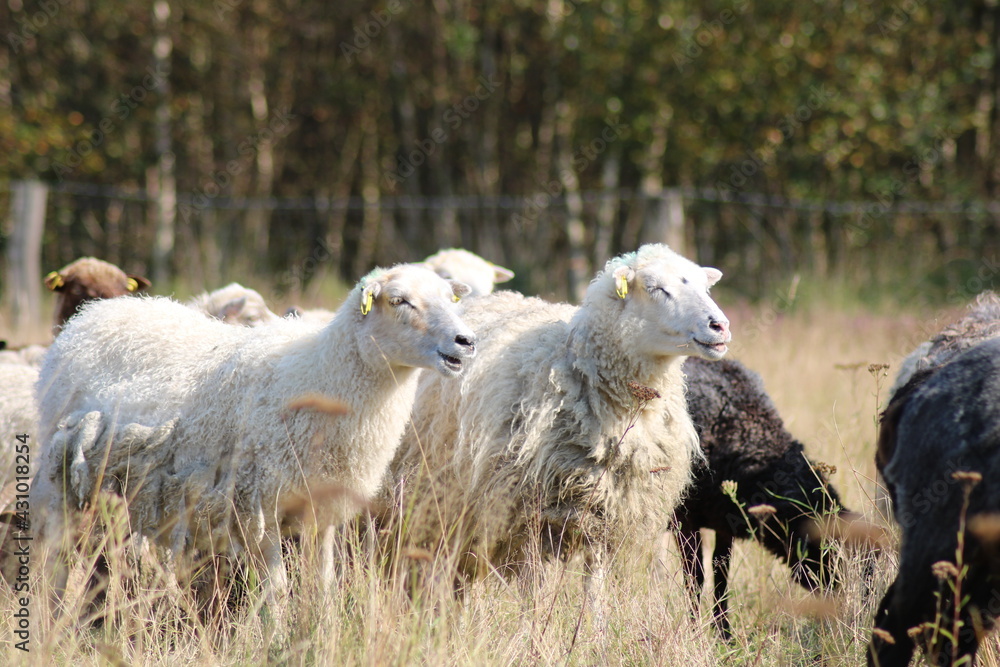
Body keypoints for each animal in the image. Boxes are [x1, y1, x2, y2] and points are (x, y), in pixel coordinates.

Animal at [32, 263, 477, 610]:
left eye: (450, 298)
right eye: (399, 301)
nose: (467, 341)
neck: (319, 375)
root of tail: (92, 315)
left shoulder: (320, 509)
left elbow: (323, 586)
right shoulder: (257, 506)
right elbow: (275, 590)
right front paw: (276, 641)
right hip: (63, 474)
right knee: (57, 557)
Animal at [386, 244, 730, 614]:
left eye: (705, 287)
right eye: (655, 288)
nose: (720, 326)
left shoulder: (605, 514)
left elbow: (595, 587)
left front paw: (595, 628)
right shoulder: (528, 515)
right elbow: (536, 591)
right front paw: (536, 628)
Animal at [676, 356, 856, 638]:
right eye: (826, 553)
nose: (841, 610)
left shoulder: (723, 519)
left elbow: (720, 574)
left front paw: (725, 635)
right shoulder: (685, 518)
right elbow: (695, 578)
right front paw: (695, 633)